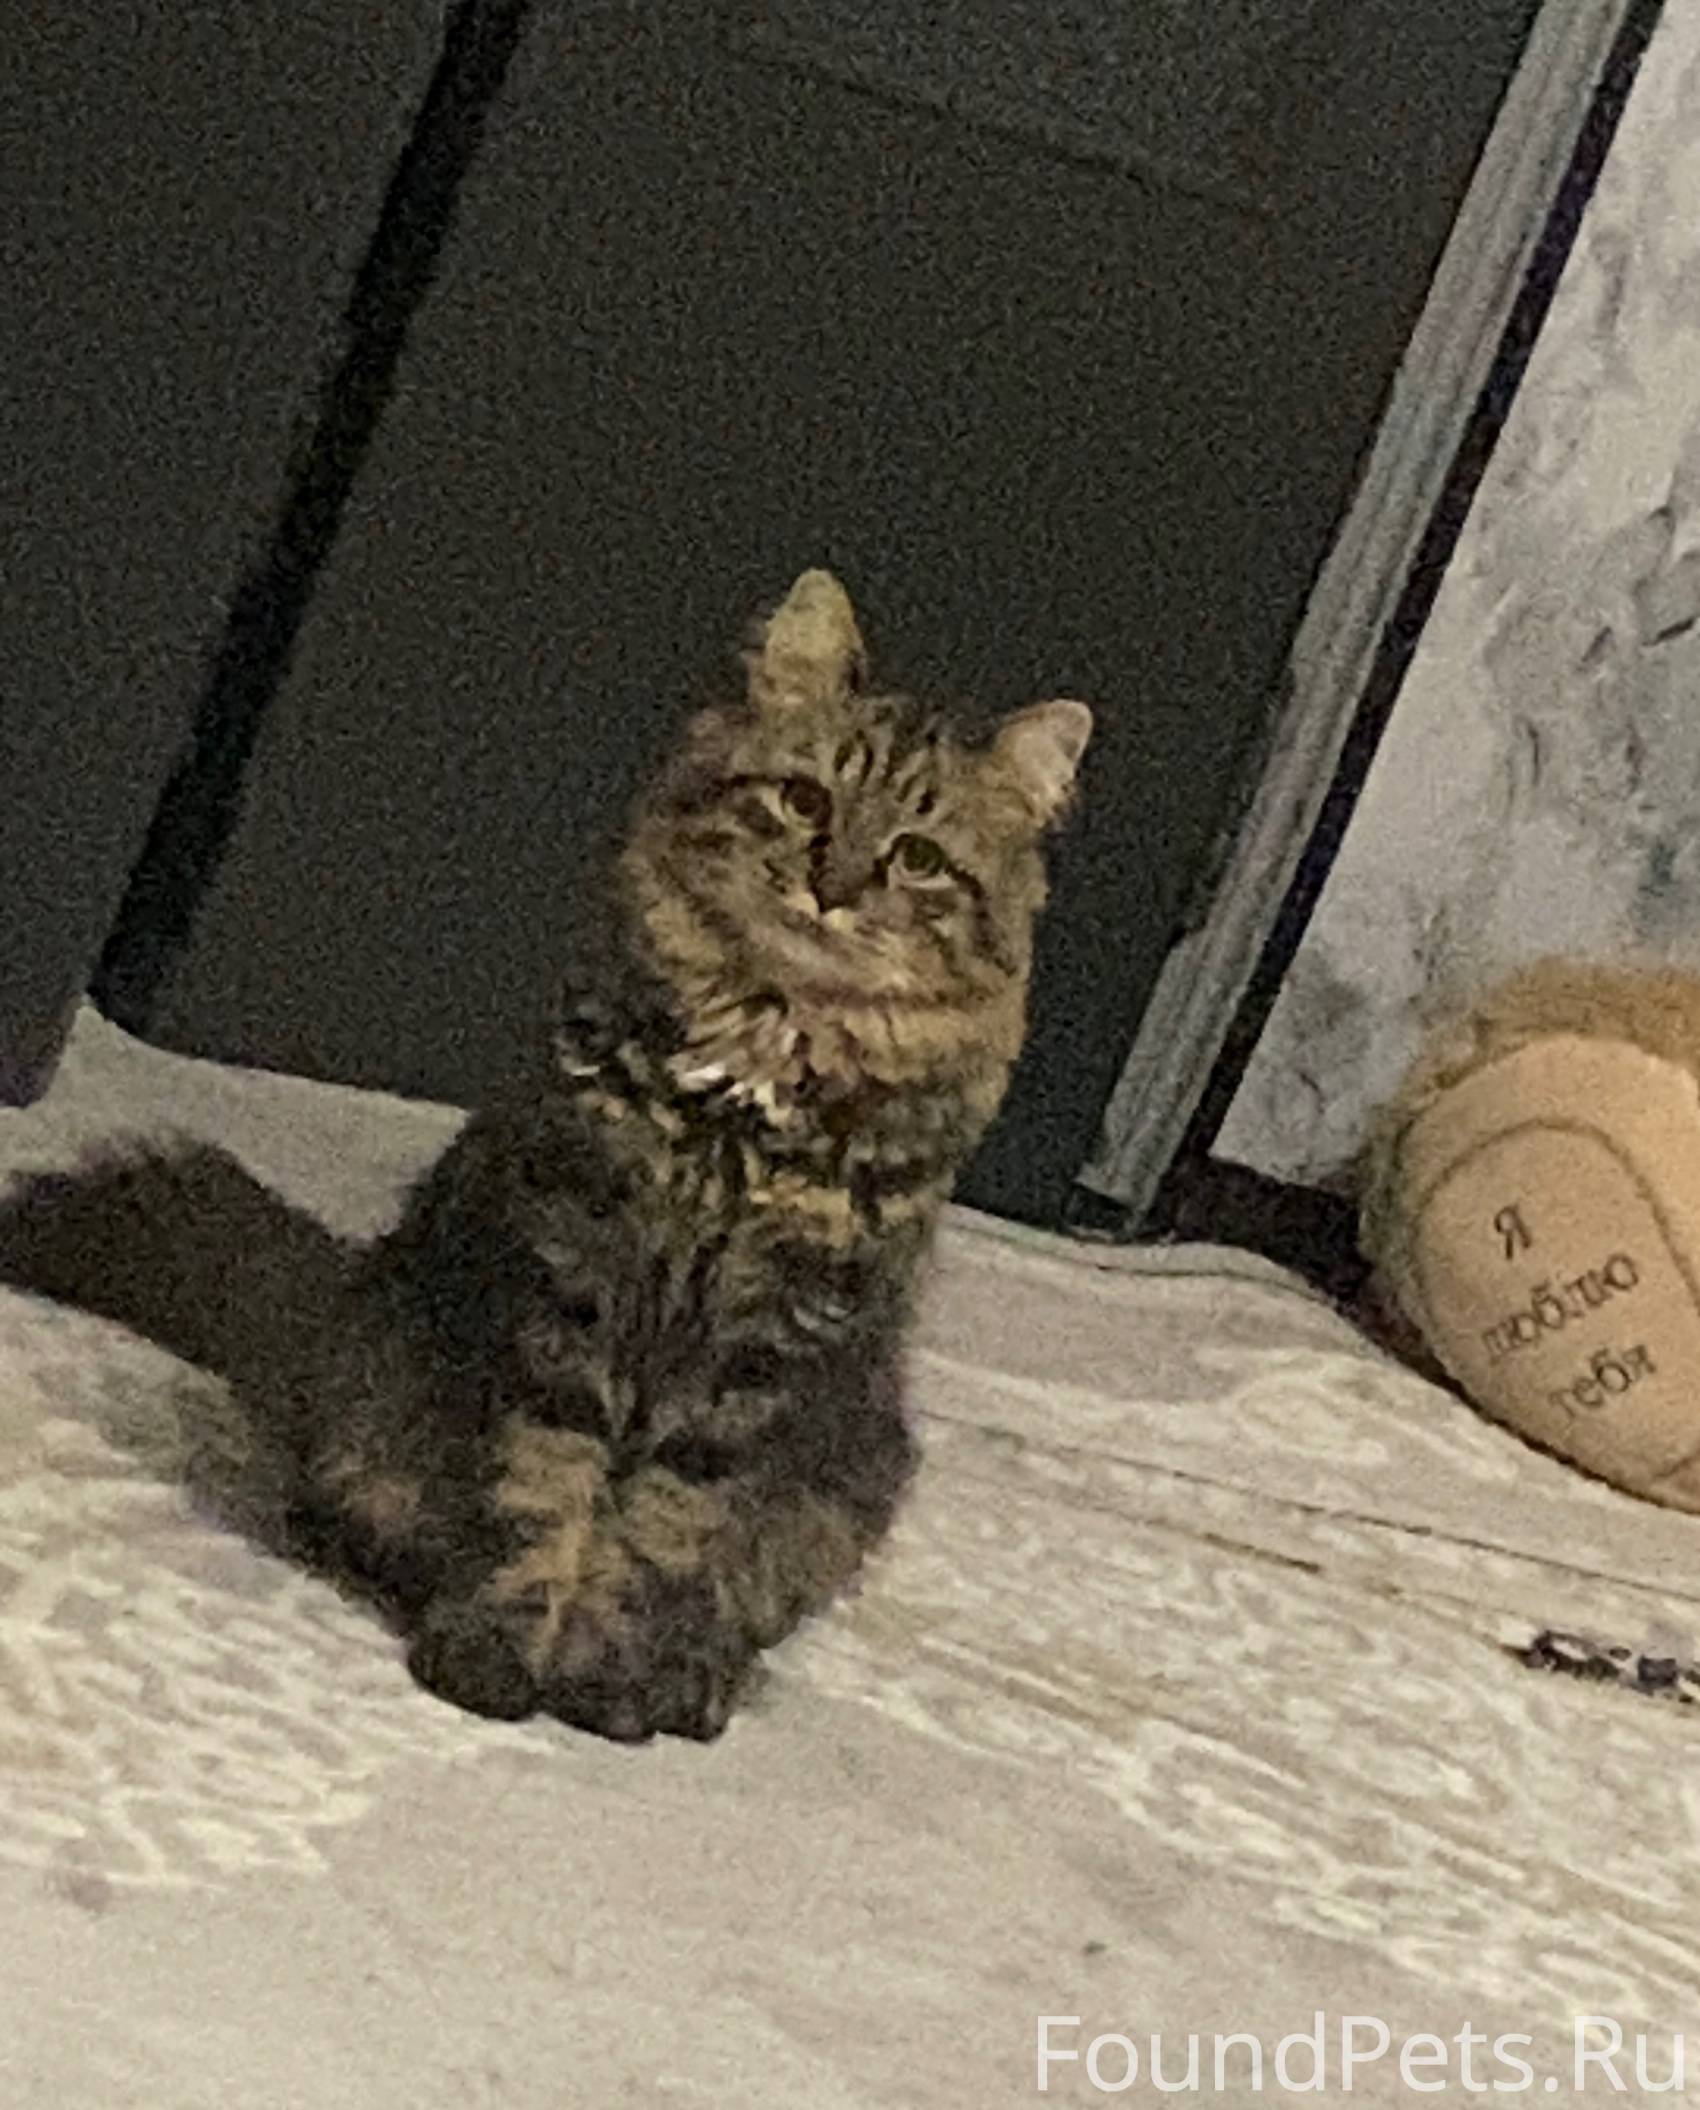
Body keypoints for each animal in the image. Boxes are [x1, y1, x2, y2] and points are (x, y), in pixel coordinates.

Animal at [0, 569, 1091, 1743]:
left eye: (918, 860)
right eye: (805, 802)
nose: (834, 889)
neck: (744, 1104)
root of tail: (329, 1295)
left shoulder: (761, 1349)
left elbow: (662, 1530)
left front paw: (612, 1678)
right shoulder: (574, 1277)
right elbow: (545, 1495)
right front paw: (501, 1651)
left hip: (849, 1490)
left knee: (735, 1612)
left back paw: (696, 1681)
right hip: (368, 1393)